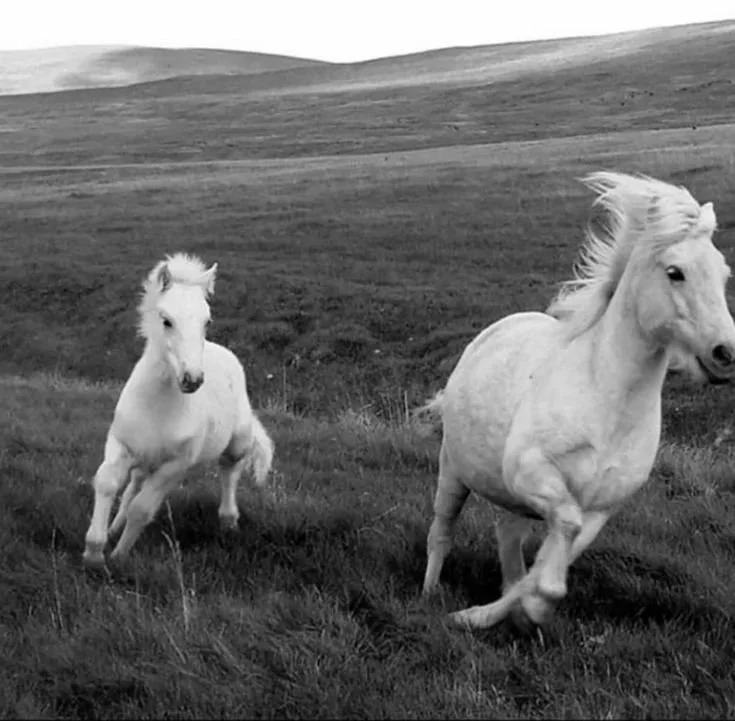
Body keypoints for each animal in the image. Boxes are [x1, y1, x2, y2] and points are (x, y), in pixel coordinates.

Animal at [83, 253, 274, 568]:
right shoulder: (121, 444)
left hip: (237, 443)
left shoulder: (176, 466)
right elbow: (108, 484)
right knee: (133, 484)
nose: (192, 379)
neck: (158, 405)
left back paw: (229, 522)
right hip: (144, 460)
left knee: (229, 471)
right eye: (166, 320)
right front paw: (95, 551)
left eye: (207, 321)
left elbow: (142, 508)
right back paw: (113, 528)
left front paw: (119, 556)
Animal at [420, 171, 735, 630]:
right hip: (453, 472)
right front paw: (481, 615)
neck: (606, 404)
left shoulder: (601, 507)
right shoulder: (532, 473)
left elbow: (554, 558)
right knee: (441, 531)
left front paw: (516, 611)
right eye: (675, 272)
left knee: (508, 541)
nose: (725, 353)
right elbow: (558, 543)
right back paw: (430, 595)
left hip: (512, 501)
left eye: (723, 273)